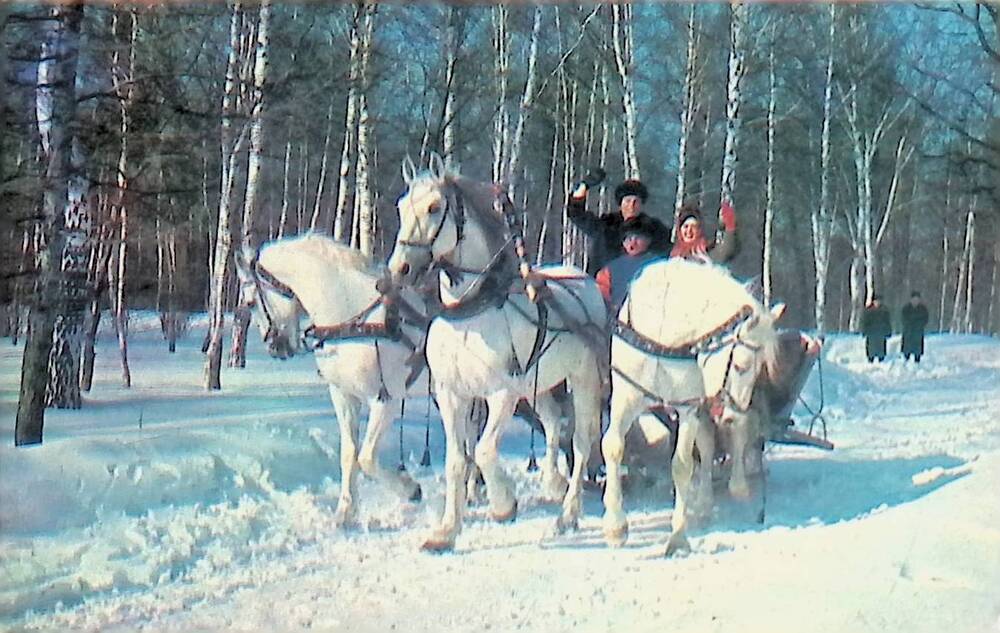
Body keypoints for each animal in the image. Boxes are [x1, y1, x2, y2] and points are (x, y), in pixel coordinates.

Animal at [237, 235, 434, 524]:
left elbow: (367, 458)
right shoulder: (344, 395)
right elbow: (349, 454)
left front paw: (411, 489)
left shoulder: (385, 399)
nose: (275, 348)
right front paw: (345, 512)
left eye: (250, 303)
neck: (352, 320)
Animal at [384, 154, 600, 548]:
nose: (399, 269)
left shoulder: (503, 392)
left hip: (584, 380)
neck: (469, 312)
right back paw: (553, 481)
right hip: (541, 385)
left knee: (581, 441)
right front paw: (446, 530)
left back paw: (569, 513)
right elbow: (458, 459)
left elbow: (484, 451)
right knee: (551, 425)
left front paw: (504, 504)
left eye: (434, 207)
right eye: (401, 206)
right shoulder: (452, 393)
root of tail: (582, 278)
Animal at [600, 256, 780, 552]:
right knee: (707, 445)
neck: (662, 339)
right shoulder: (626, 395)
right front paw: (615, 526)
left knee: (721, 444)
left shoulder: (688, 405)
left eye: (759, 369)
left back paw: (734, 485)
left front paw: (678, 535)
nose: (734, 413)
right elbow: (613, 447)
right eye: (741, 365)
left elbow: (683, 464)